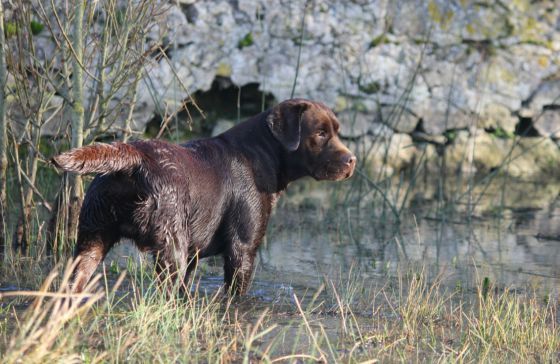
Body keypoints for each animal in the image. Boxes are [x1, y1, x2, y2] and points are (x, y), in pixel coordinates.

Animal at [54, 98, 356, 294]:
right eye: (320, 133)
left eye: (337, 131)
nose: (352, 160)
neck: (259, 155)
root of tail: (134, 157)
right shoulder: (242, 250)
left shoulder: (193, 255)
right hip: (170, 247)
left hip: (91, 240)